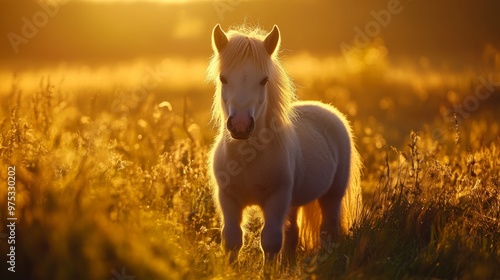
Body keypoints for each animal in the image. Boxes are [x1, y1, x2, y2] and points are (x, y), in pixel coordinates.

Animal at [207, 23, 364, 266]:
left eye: (264, 80)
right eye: (223, 78)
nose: (241, 126)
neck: (248, 157)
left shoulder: (277, 199)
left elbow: (270, 241)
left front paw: (269, 271)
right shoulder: (229, 199)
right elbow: (232, 240)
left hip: (332, 196)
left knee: (327, 231)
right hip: (294, 203)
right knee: (293, 234)